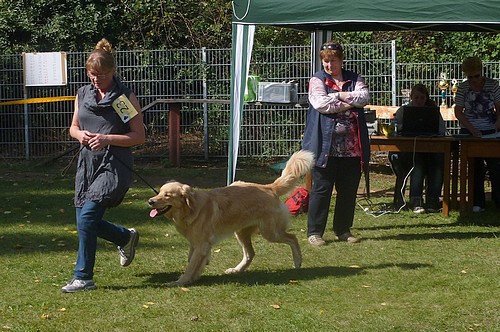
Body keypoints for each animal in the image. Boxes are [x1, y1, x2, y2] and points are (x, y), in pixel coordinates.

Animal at [146, 150, 314, 286]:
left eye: (167, 195)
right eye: (159, 192)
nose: (150, 201)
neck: (190, 209)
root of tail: (269, 187)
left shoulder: (201, 244)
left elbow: (190, 265)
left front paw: (180, 281)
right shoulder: (195, 243)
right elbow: (192, 261)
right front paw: (195, 276)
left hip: (270, 232)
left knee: (292, 238)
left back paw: (298, 261)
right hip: (241, 233)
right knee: (250, 253)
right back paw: (237, 270)